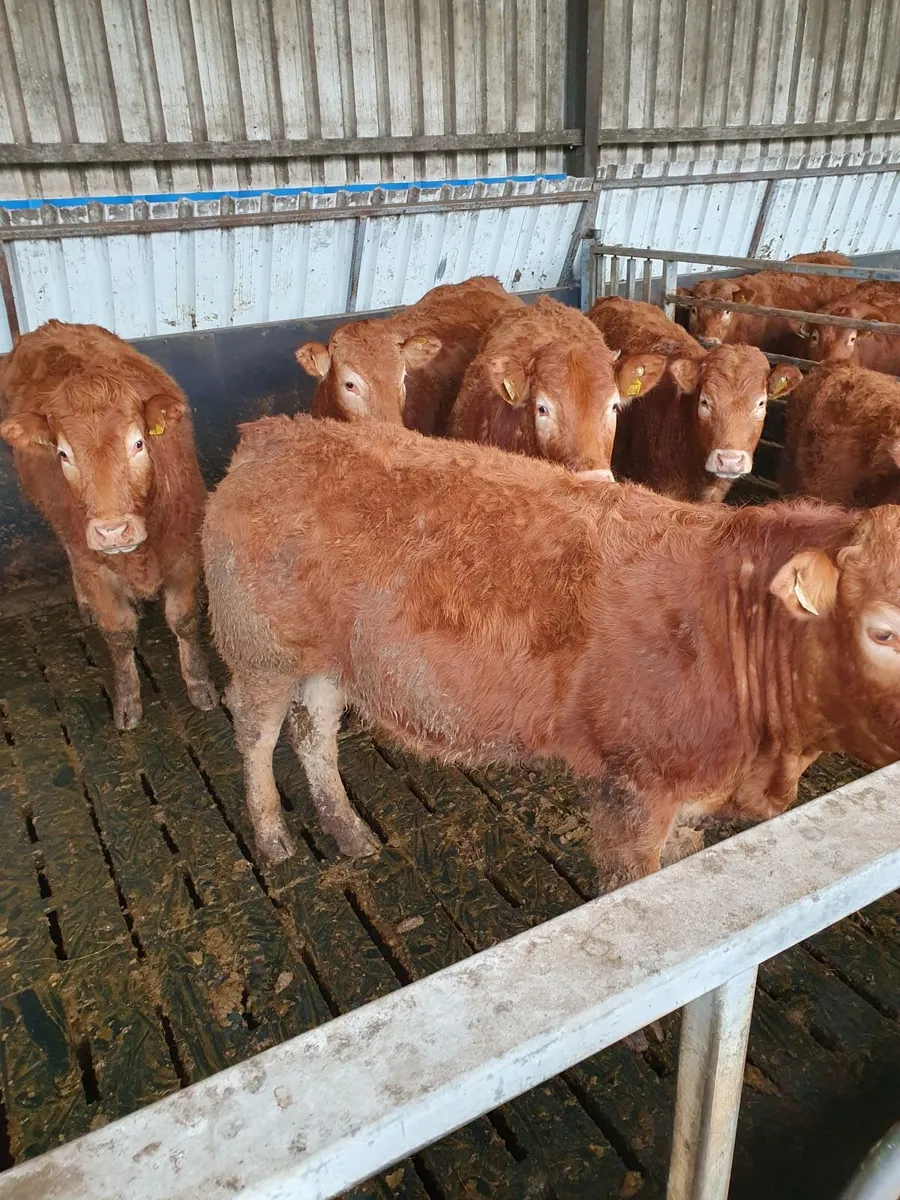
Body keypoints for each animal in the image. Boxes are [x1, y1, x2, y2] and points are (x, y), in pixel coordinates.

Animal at [0, 320, 217, 730]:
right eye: (63, 454)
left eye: (139, 443)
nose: (112, 531)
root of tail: (50, 327)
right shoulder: (96, 565)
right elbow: (118, 634)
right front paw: (128, 701)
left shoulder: (185, 551)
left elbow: (183, 620)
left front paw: (200, 687)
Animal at [203, 414, 900, 890]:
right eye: (884, 632)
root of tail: (276, 432)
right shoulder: (631, 792)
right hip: (258, 650)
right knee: (257, 734)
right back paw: (271, 832)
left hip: (327, 661)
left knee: (313, 732)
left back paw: (346, 829)